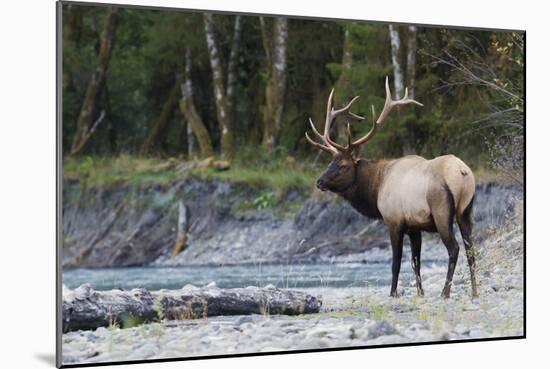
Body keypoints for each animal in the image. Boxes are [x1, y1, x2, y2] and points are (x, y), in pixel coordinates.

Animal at [308, 76, 480, 298]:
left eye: (343, 165)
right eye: (330, 162)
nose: (319, 182)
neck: (376, 188)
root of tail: (462, 173)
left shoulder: (394, 221)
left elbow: (396, 262)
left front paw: (393, 292)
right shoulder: (415, 227)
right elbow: (415, 262)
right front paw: (420, 293)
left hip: (442, 211)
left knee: (454, 248)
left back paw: (445, 292)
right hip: (466, 211)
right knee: (470, 249)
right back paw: (474, 291)